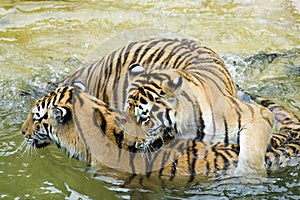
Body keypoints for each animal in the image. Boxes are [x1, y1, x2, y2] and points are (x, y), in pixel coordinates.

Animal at [60, 38, 274, 173]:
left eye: (144, 117)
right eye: (126, 114)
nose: (128, 143)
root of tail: (100, 62)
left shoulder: (259, 114)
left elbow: (251, 157)